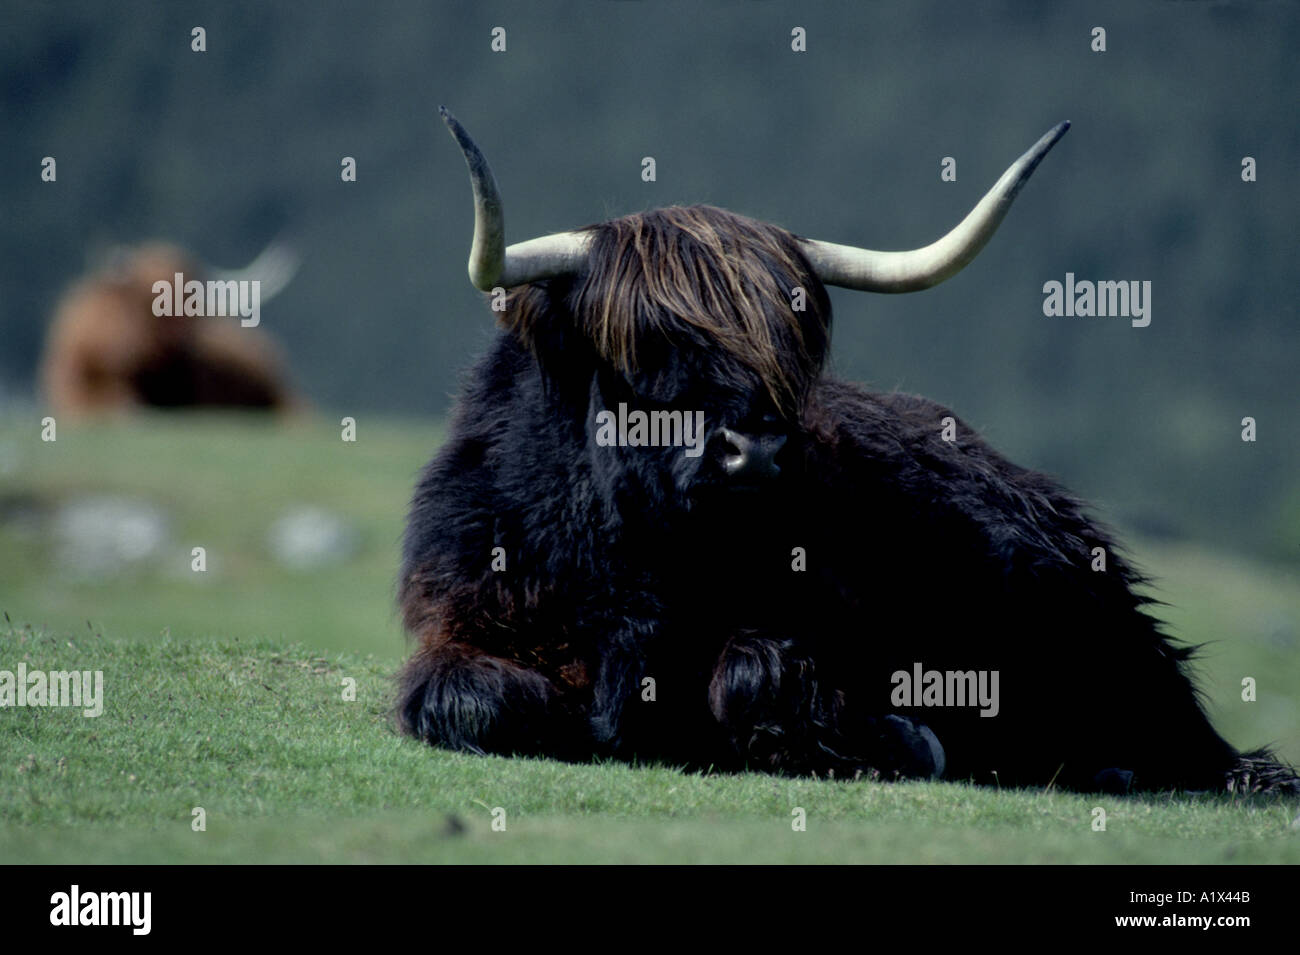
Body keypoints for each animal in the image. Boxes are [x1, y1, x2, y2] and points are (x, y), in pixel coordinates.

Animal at [396, 109, 1299, 795]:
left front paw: (896, 739)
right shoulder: (462, 618)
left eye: (790, 343)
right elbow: (466, 697)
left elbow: (756, 673)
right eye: (646, 340)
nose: (754, 450)